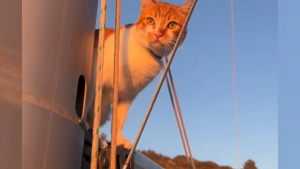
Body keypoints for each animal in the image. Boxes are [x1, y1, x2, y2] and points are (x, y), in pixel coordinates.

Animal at [86, 0, 192, 149]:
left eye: (172, 25)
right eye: (150, 20)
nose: (158, 34)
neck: (144, 52)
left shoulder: (128, 95)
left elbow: (120, 119)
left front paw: (119, 139)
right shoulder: (96, 74)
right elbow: (87, 101)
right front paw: (85, 125)